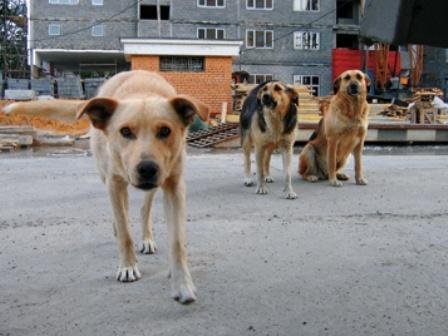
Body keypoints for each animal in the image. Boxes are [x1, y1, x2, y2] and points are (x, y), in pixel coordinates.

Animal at [75, 69, 208, 304]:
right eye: (125, 131)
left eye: (165, 131)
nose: (147, 168)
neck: (142, 93)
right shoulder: (113, 182)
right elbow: (125, 231)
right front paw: (128, 266)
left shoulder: (174, 186)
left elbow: (177, 242)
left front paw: (183, 284)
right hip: (107, 177)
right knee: (123, 212)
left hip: (155, 185)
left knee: (143, 209)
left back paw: (147, 239)